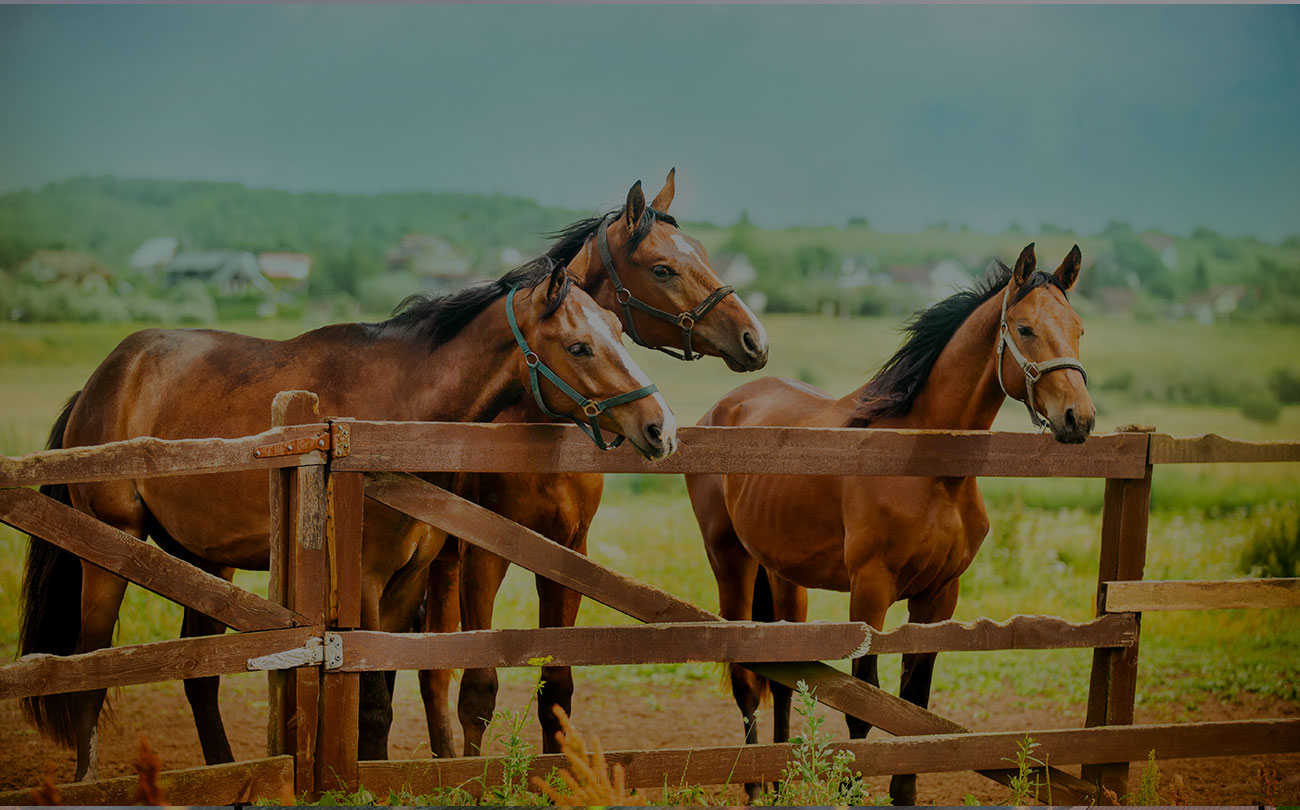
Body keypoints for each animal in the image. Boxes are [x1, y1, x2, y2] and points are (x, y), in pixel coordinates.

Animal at [18, 258, 676, 781]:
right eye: (580, 346)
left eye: (620, 331)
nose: (660, 428)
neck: (394, 411)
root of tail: (105, 377)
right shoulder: (364, 580)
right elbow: (373, 699)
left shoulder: (406, 583)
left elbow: (383, 685)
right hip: (112, 552)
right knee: (90, 667)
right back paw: (89, 778)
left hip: (205, 564)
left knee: (199, 678)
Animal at [404, 170, 770, 758]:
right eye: (662, 268)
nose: (754, 339)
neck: (536, 434)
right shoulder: (484, 557)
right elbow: (478, 687)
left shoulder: (568, 554)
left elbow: (558, 688)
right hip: (444, 567)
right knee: (434, 674)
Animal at [684, 244, 1093, 804]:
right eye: (1026, 329)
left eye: (1078, 328)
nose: (1079, 418)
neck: (927, 467)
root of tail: (719, 411)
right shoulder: (871, 592)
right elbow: (865, 703)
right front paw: (851, 788)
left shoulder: (939, 596)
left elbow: (913, 704)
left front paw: (903, 792)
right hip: (731, 563)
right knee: (747, 679)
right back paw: (755, 789)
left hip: (784, 577)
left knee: (784, 671)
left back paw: (783, 780)